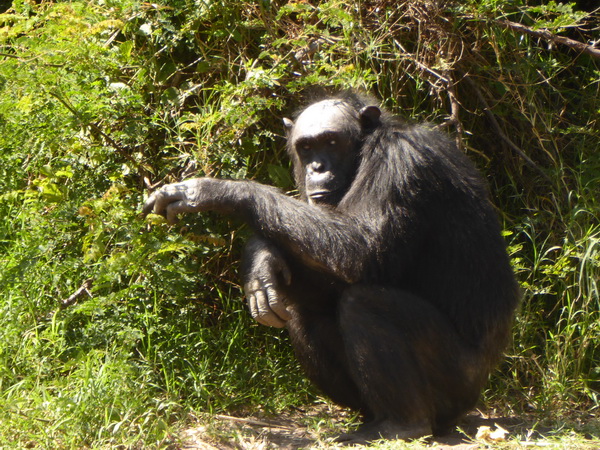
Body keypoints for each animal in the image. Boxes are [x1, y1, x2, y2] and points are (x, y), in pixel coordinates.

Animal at [143, 91, 516, 442]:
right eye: (307, 147)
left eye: (332, 142)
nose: (317, 167)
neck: (365, 153)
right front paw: (260, 263)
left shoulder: (401, 162)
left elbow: (361, 247)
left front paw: (213, 191)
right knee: (304, 312)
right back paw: (371, 419)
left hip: (458, 381)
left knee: (365, 303)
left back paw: (402, 424)